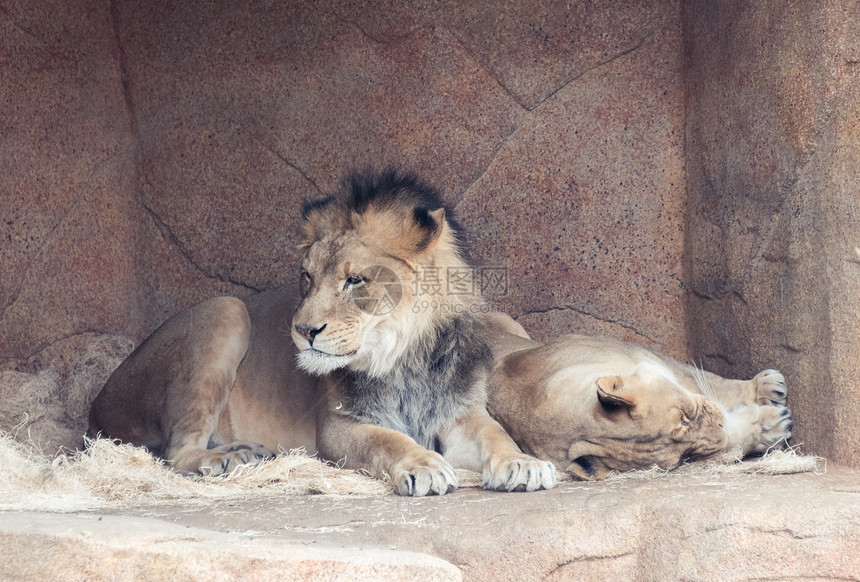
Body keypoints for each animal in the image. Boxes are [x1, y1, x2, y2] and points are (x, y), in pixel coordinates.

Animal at [89, 172, 556, 498]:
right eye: (307, 277)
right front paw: (424, 465)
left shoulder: (460, 412)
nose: (302, 330)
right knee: (176, 453)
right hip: (226, 310)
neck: (403, 359)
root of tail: (95, 404)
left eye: (355, 280)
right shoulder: (338, 426)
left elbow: (496, 433)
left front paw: (523, 464)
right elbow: (389, 441)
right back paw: (232, 457)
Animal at [484, 318, 792, 482]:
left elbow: (711, 381)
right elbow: (729, 434)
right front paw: (773, 425)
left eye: (685, 416)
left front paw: (767, 387)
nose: (720, 431)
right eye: (684, 458)